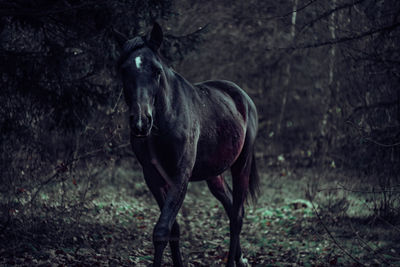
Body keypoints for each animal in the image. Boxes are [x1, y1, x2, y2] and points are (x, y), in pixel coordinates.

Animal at [115, 23, 260, 267]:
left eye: (156, 71)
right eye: (124, 70)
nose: (141, 122)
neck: (165, 120)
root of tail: (242, 97)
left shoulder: (180, 175)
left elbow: (162, 230)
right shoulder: (153, 176)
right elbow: (173, 229)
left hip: (242, 164)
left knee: (237, 216)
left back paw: (233, 261)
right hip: (214, 174)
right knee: (230, 205)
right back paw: (240, 259)